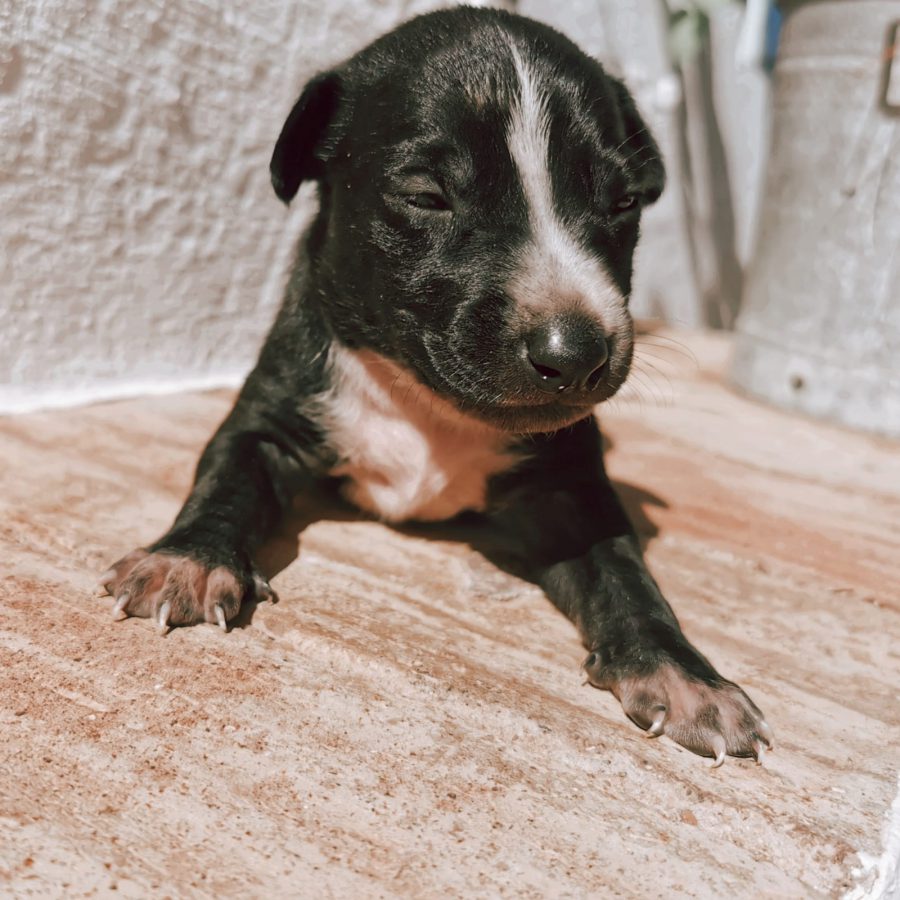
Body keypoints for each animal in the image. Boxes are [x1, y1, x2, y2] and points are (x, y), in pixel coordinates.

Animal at [99, 6, 772, 766]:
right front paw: (185, 558)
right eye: (426, 197)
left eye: (624, 201)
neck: (425, 401)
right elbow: (226, 477)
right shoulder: (269, 414)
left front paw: (683, 671)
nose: (575, 354)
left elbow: (623, 567)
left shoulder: (570, 482)